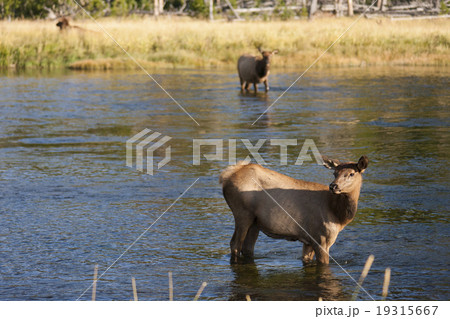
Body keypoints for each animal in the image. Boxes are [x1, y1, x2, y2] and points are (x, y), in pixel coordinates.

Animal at [219, 156, 370, 264]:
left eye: (351, 173)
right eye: (335, 173)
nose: (333, 186)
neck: (338, 216)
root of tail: (226, 176)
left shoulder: (308, 241)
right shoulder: (321, 238)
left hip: (255, 223)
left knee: (247, 247)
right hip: (242, 213)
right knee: (235, 244)